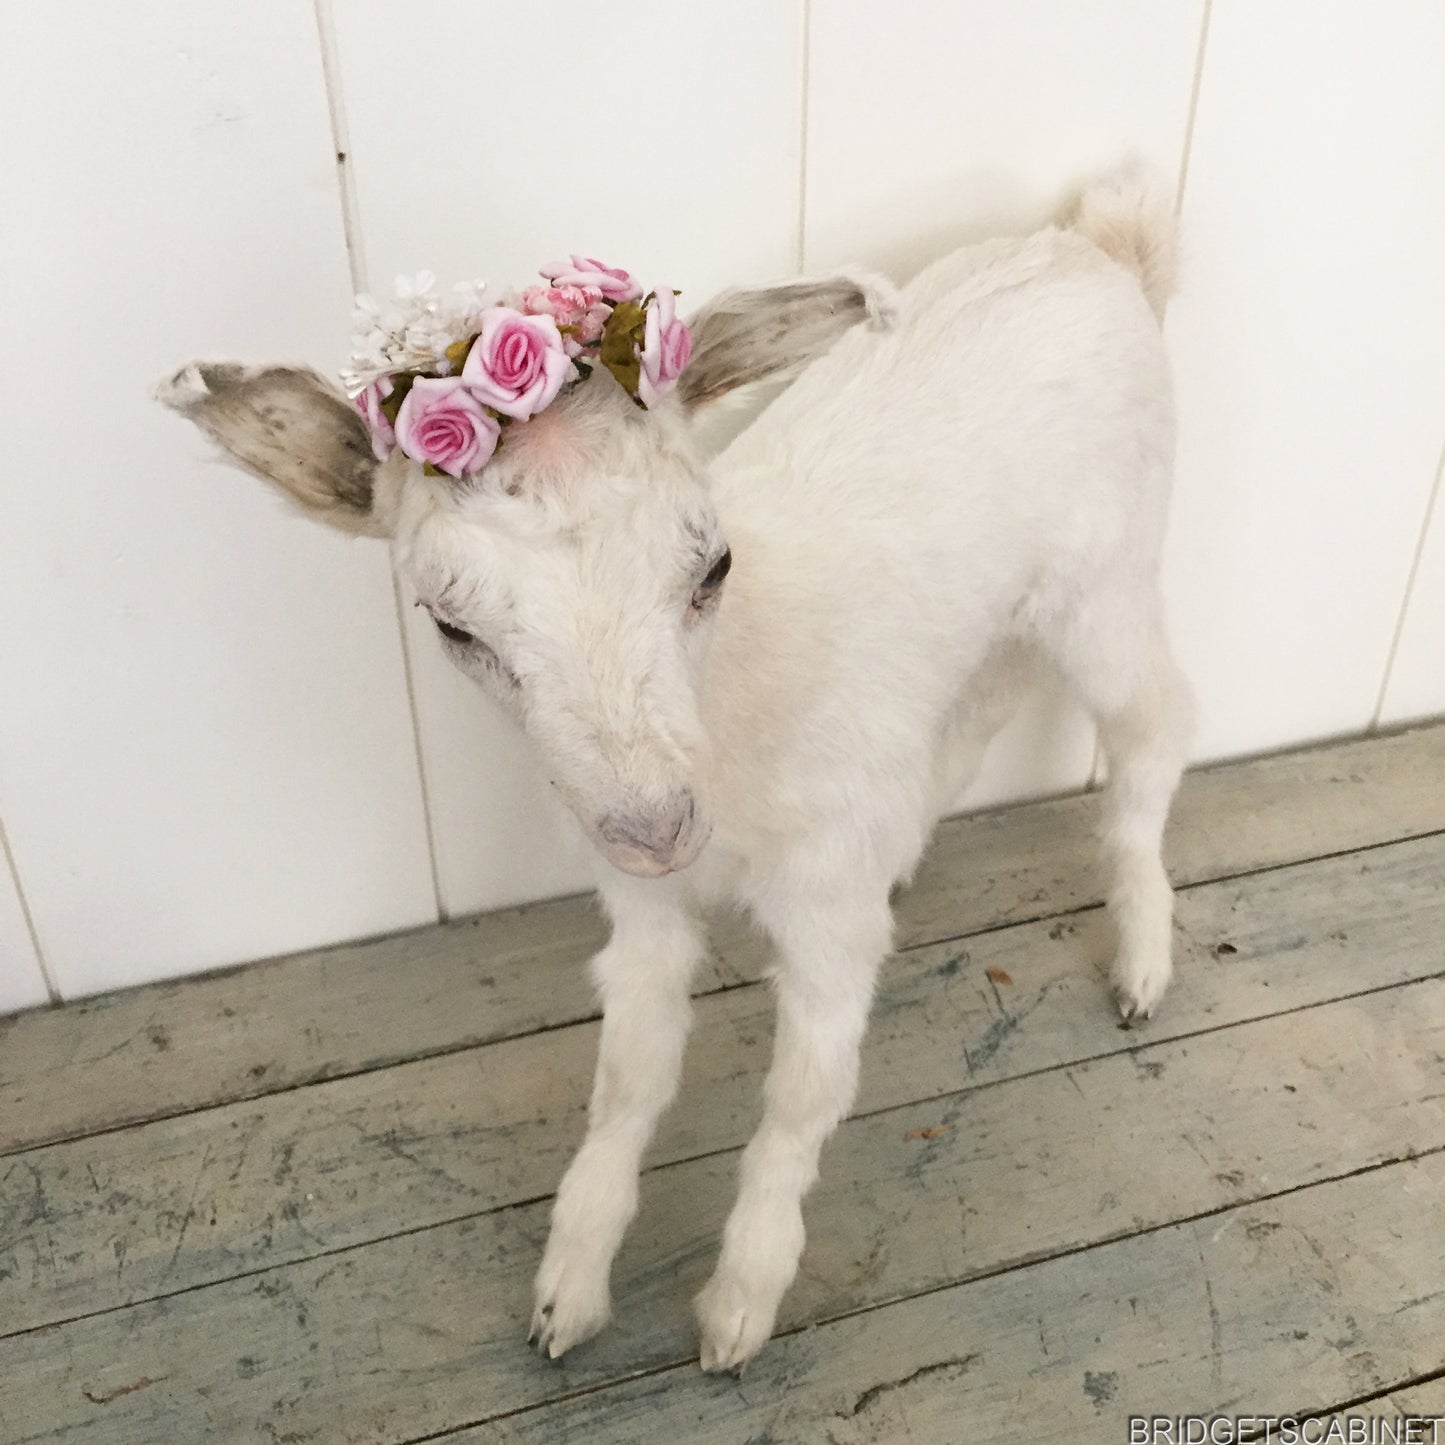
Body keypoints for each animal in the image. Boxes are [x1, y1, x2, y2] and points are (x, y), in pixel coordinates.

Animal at [159, 162, 1193, 1372]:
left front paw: (739, 1305)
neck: (731, 744)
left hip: (1106, 580)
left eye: (713, 565)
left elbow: (800, 1096)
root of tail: (1100, 242)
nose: (657, 828)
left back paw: (1140, 967)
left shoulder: (823, 916)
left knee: (1156, 726)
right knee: (985, 706)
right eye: (448, 623)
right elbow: (628, 1078)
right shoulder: (641, 912)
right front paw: (565, 1293)